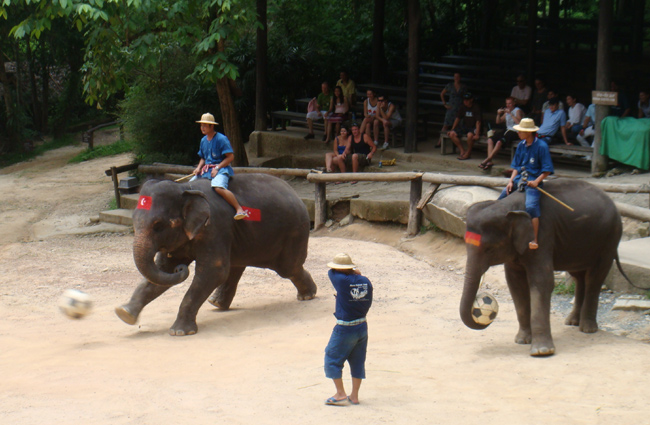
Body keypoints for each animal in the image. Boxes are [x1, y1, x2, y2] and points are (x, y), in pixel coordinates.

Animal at [115, 174, 317, 336]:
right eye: (134, 222)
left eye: (159, 225)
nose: (181, 268)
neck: (185, 189)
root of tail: (295, 194)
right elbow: (163, 271)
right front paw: (124, 313)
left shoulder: (215, 227)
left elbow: (213, 271)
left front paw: (179, 332)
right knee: (237, 267)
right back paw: (217, 304)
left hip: (294, 231)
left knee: (287, 268)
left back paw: (307, 296)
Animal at [460, 178, 630, 356]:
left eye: (489, 249)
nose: (486, 321)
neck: (508, 207)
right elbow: (515, 284)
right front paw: (522, 340)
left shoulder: (541, 235)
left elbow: (542, 281)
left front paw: (541, 351)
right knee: (579, 276)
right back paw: (572, 322)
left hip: (610, 239)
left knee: (594, 277)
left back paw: (587, 329)